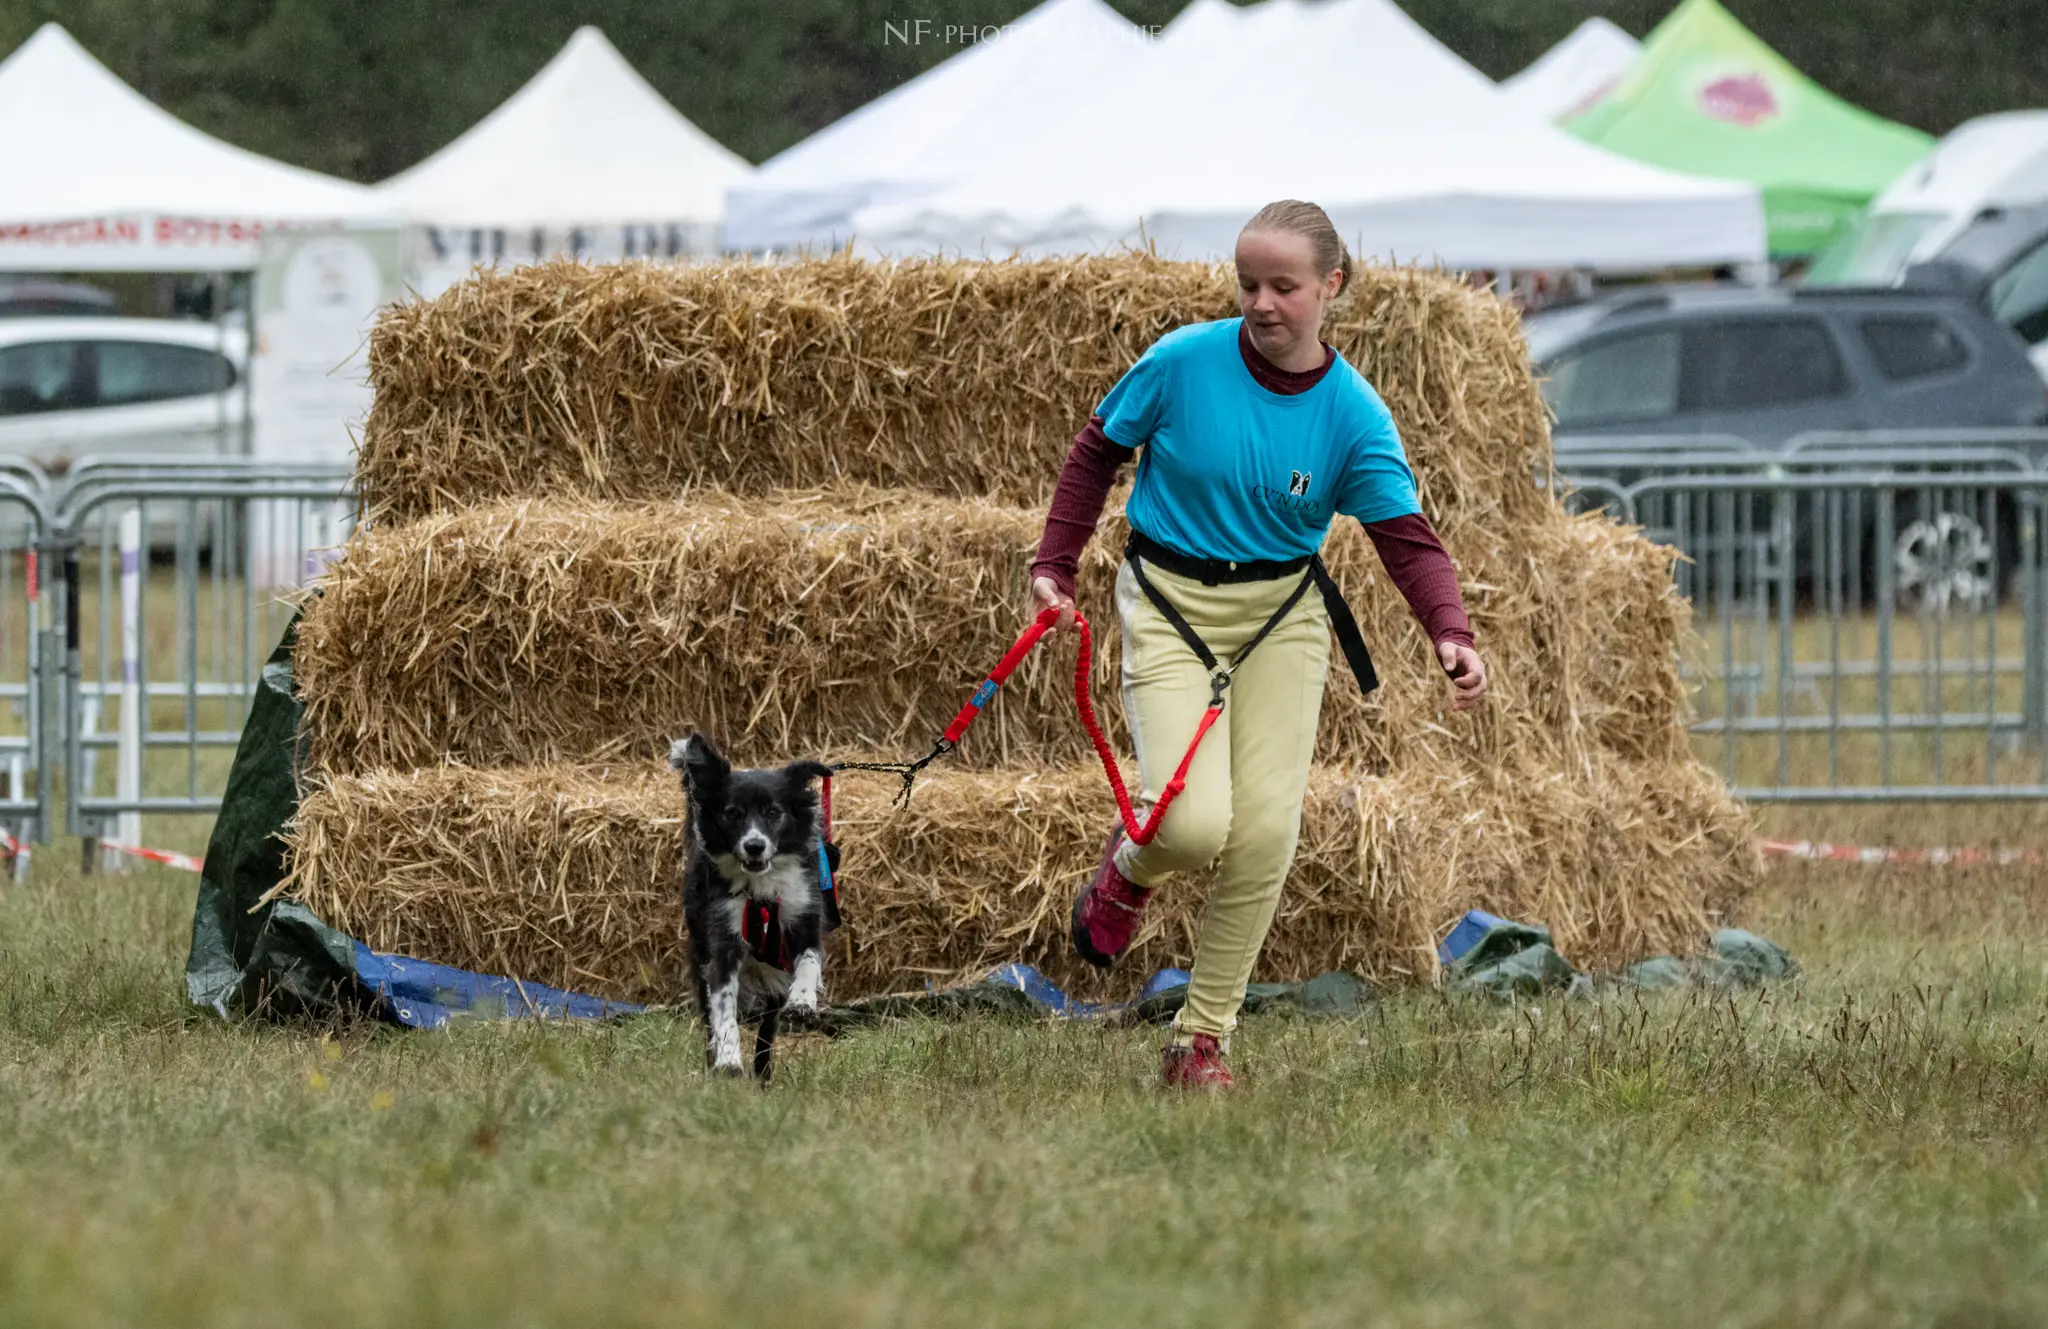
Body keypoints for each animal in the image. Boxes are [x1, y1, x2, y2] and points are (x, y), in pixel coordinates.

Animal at [667, 729, 835, 1081]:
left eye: (773, 812)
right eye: (733, 813)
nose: (754, 846)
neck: (761, 888)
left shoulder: (803, 916)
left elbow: (809, 960)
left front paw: (803, 1001)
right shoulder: (723, 940)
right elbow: (723, 1008)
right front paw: (728, 1059)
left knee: (767, 1031)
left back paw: (763, 1075)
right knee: (709, 1017)